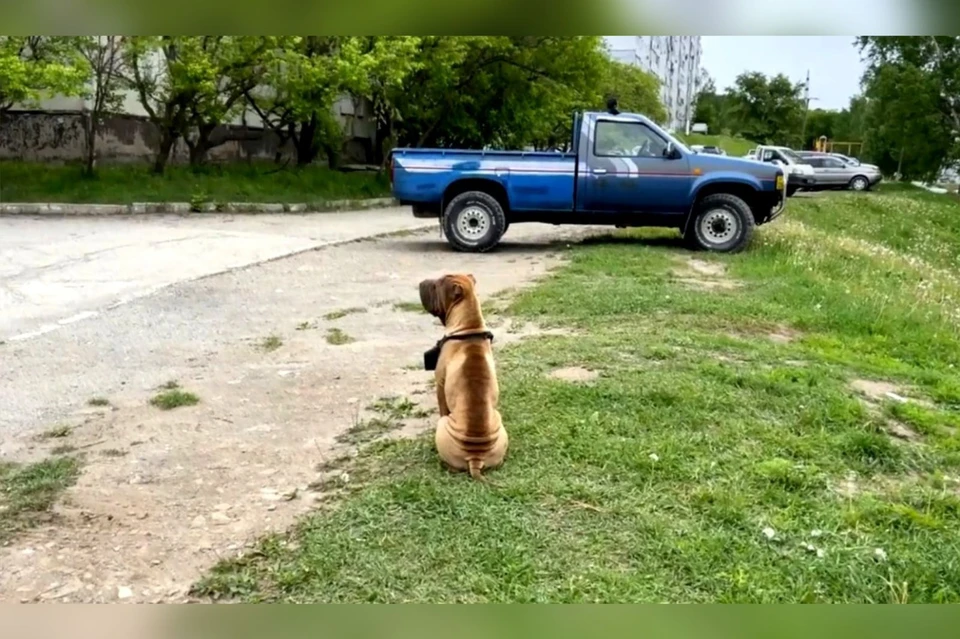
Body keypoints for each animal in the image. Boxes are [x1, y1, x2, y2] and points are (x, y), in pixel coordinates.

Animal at [420, 276, 510, 480]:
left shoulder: (440, 382)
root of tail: (476, 456)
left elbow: (442, 405)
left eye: (436, 286)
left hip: (443, 425)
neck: (470, 327)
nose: (421, 282)